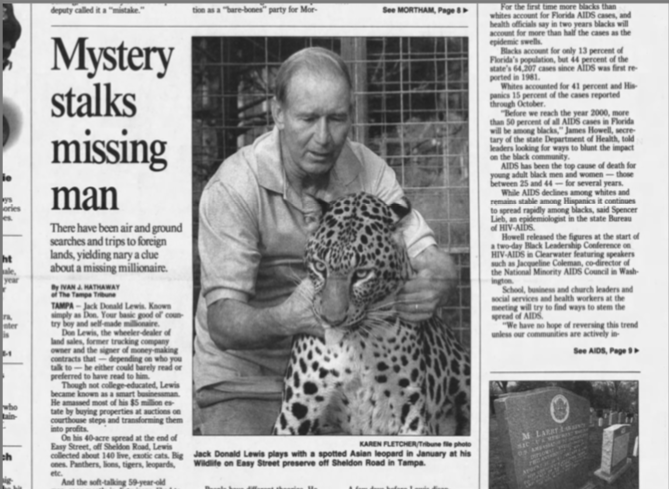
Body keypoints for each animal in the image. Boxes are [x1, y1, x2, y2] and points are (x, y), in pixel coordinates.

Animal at [272, 191, 470, 434]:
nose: (331, 320)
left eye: (362, 274)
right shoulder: (294, 414)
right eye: (320, 267)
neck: (354, 347)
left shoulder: (411, 414)